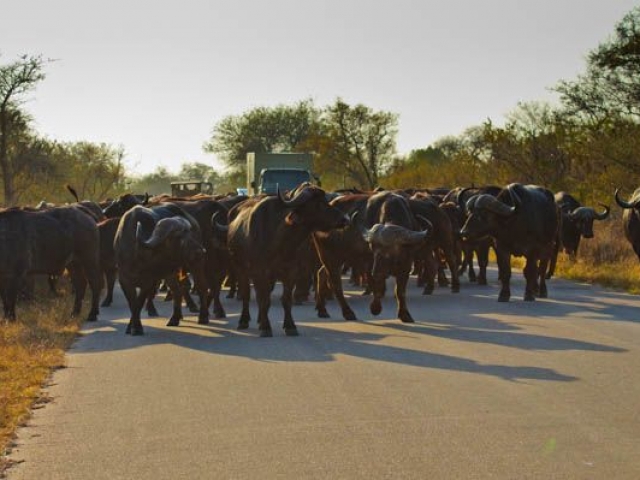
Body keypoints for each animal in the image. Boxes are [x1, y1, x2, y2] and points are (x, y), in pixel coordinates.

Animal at [228, 185, 348, 338]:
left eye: (326, 200)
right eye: (319, 203)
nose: (344, 219)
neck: (281, 241)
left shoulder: (291, 272)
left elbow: (286, 300)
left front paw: (290, 326)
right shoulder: (259, 272)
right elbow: (263, 300)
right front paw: (266, 328)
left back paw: (260, 320)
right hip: (240, 269)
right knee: (246, 295)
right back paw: (244, 320)